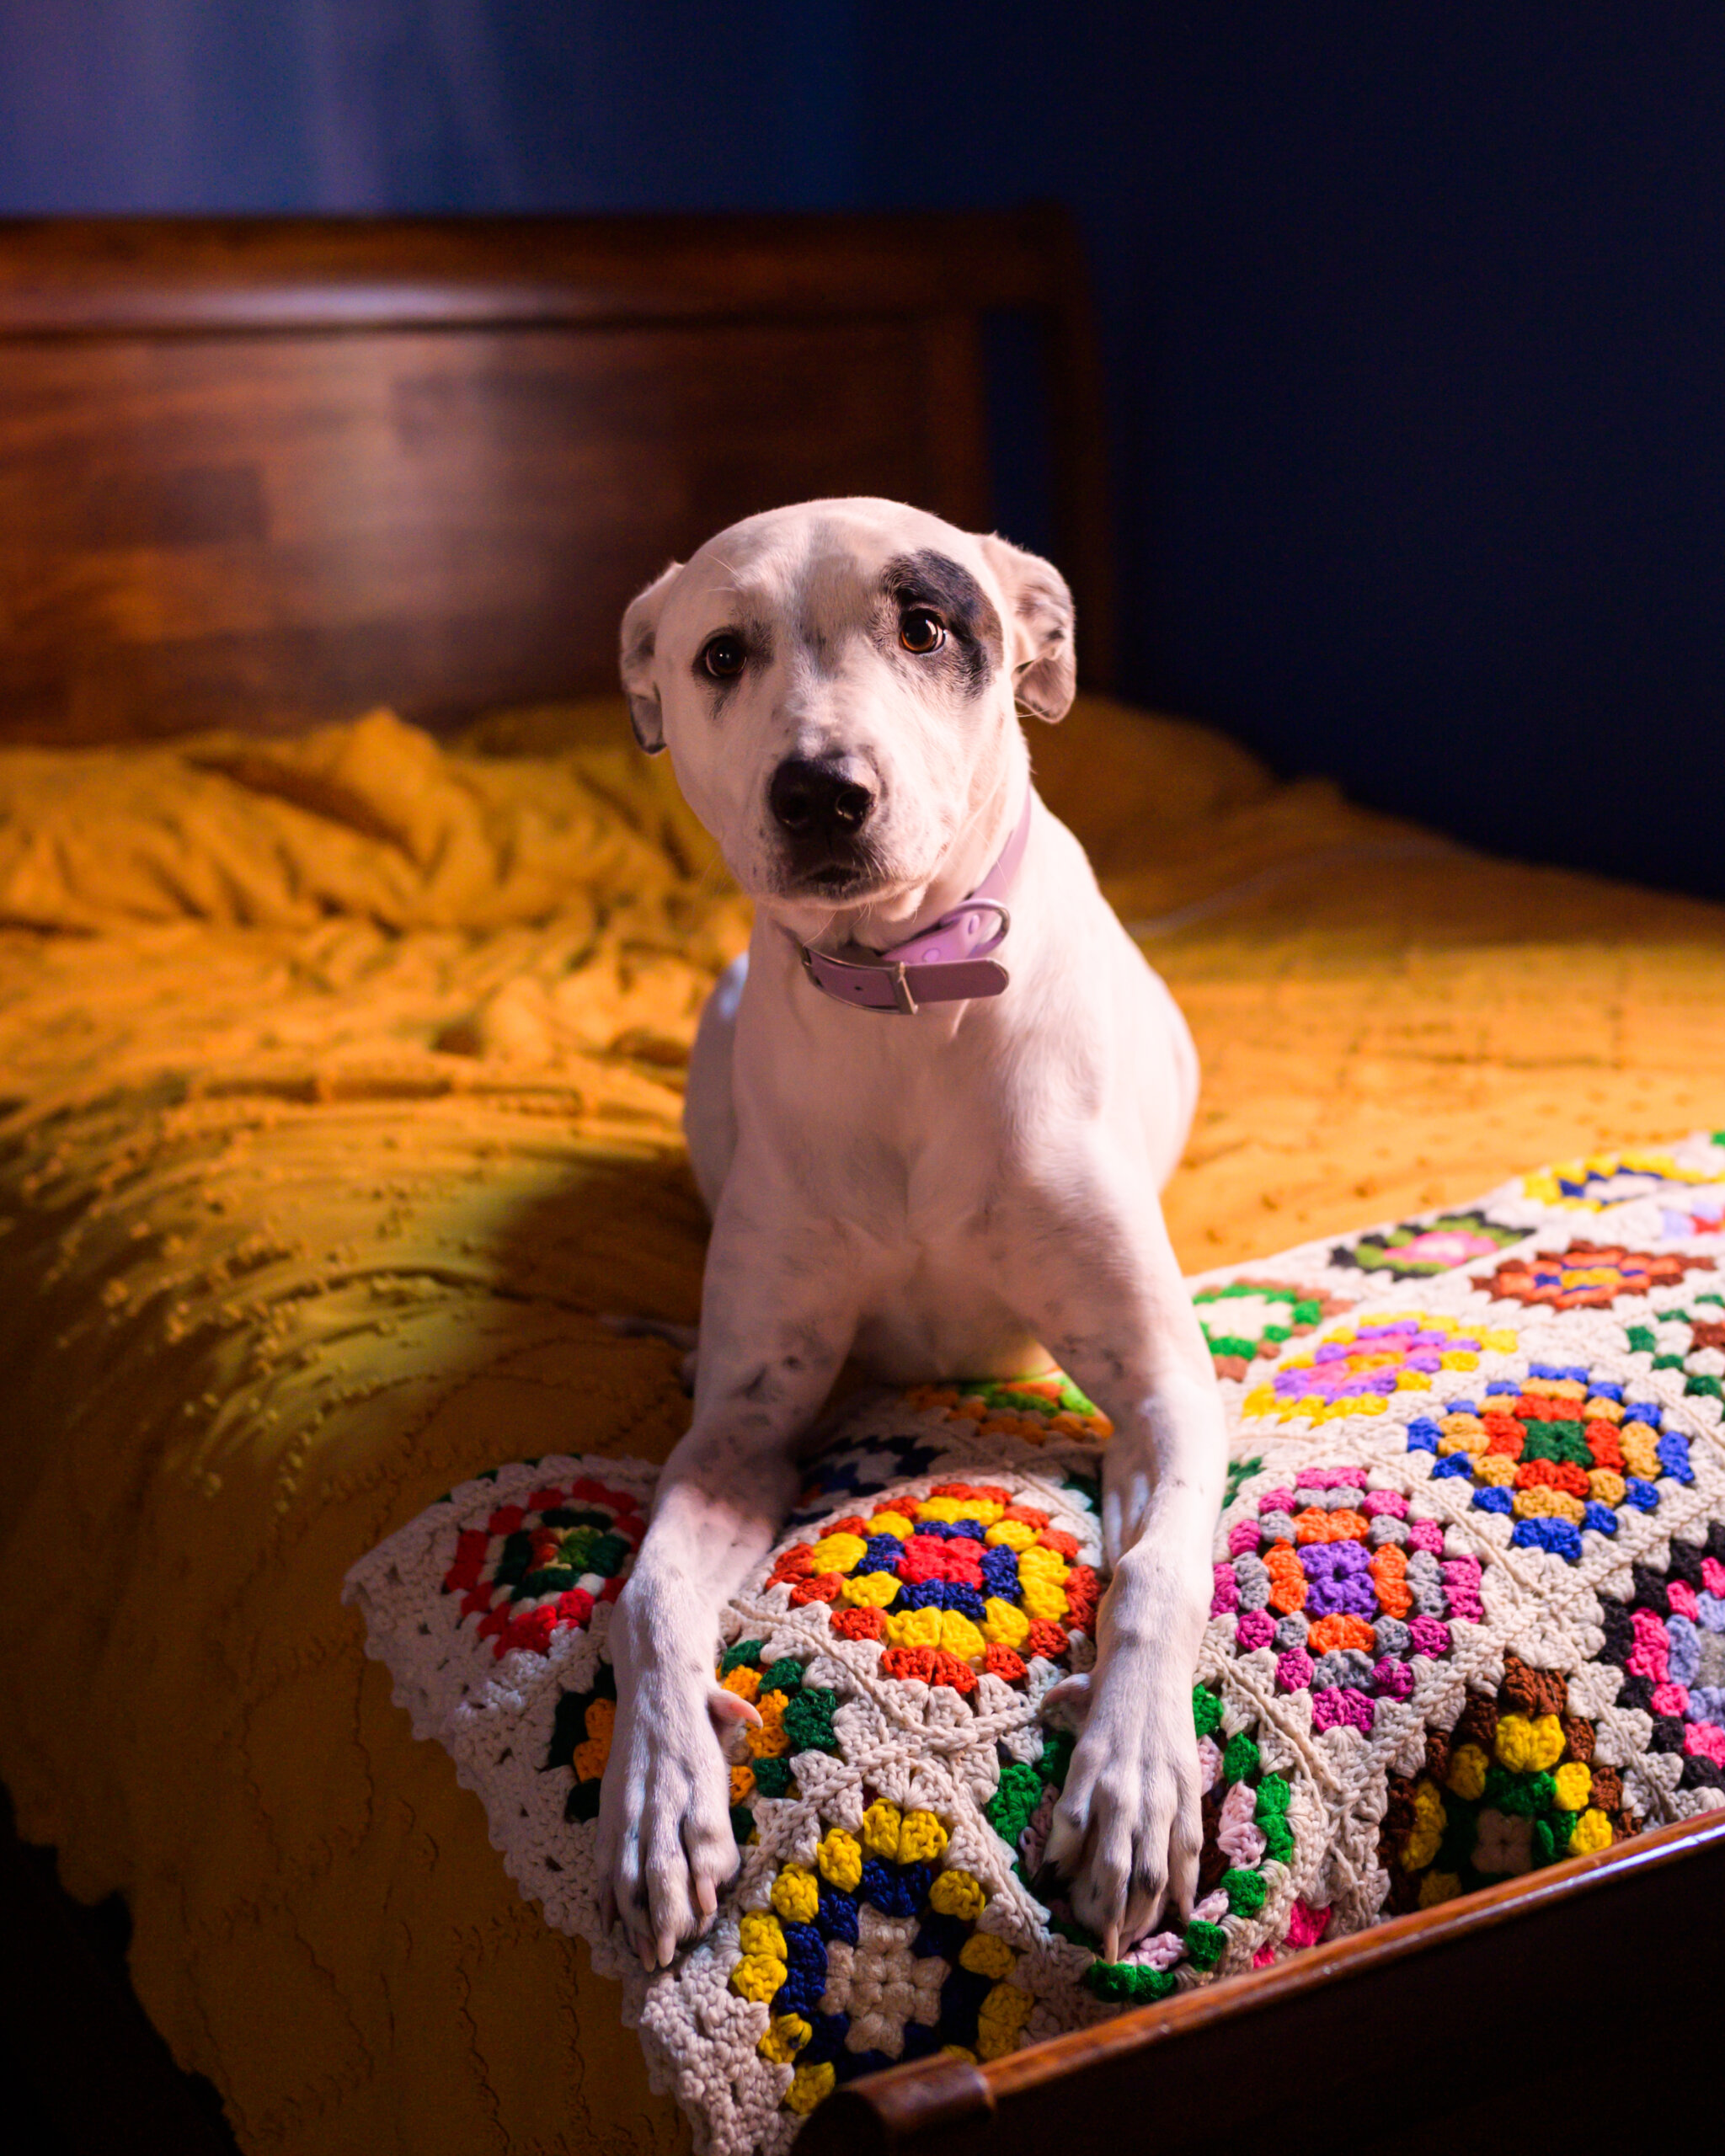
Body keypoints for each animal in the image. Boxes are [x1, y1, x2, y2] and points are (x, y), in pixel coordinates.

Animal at [607, 499, 1225, 1974]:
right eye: (721, 655)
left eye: (928, 627)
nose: (820, 792)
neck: (903, 995)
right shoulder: (746, 1431)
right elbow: (645, 1599)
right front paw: (657, 1793)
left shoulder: (1164, 1391)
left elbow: (1158, 1571)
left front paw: (1133, 1776)